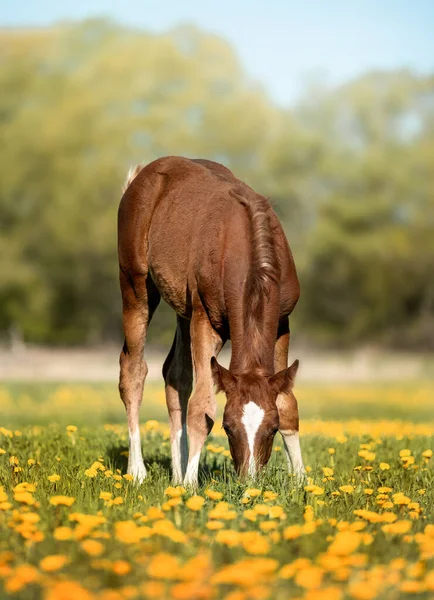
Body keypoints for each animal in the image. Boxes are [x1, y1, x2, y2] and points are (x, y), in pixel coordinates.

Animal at [117, 157, 304, 486]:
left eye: (272, 428)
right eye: (227, 427)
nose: (249, 481)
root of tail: (140, 176)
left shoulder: (282, 323)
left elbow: (288, 403)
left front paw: (303, 482)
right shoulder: (206, 320)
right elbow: (201, 406)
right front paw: (192, 485)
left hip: (183, 309)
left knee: (175, 375)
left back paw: (176, 475)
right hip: (135, 286)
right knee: (133, 370)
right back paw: (138, 472)